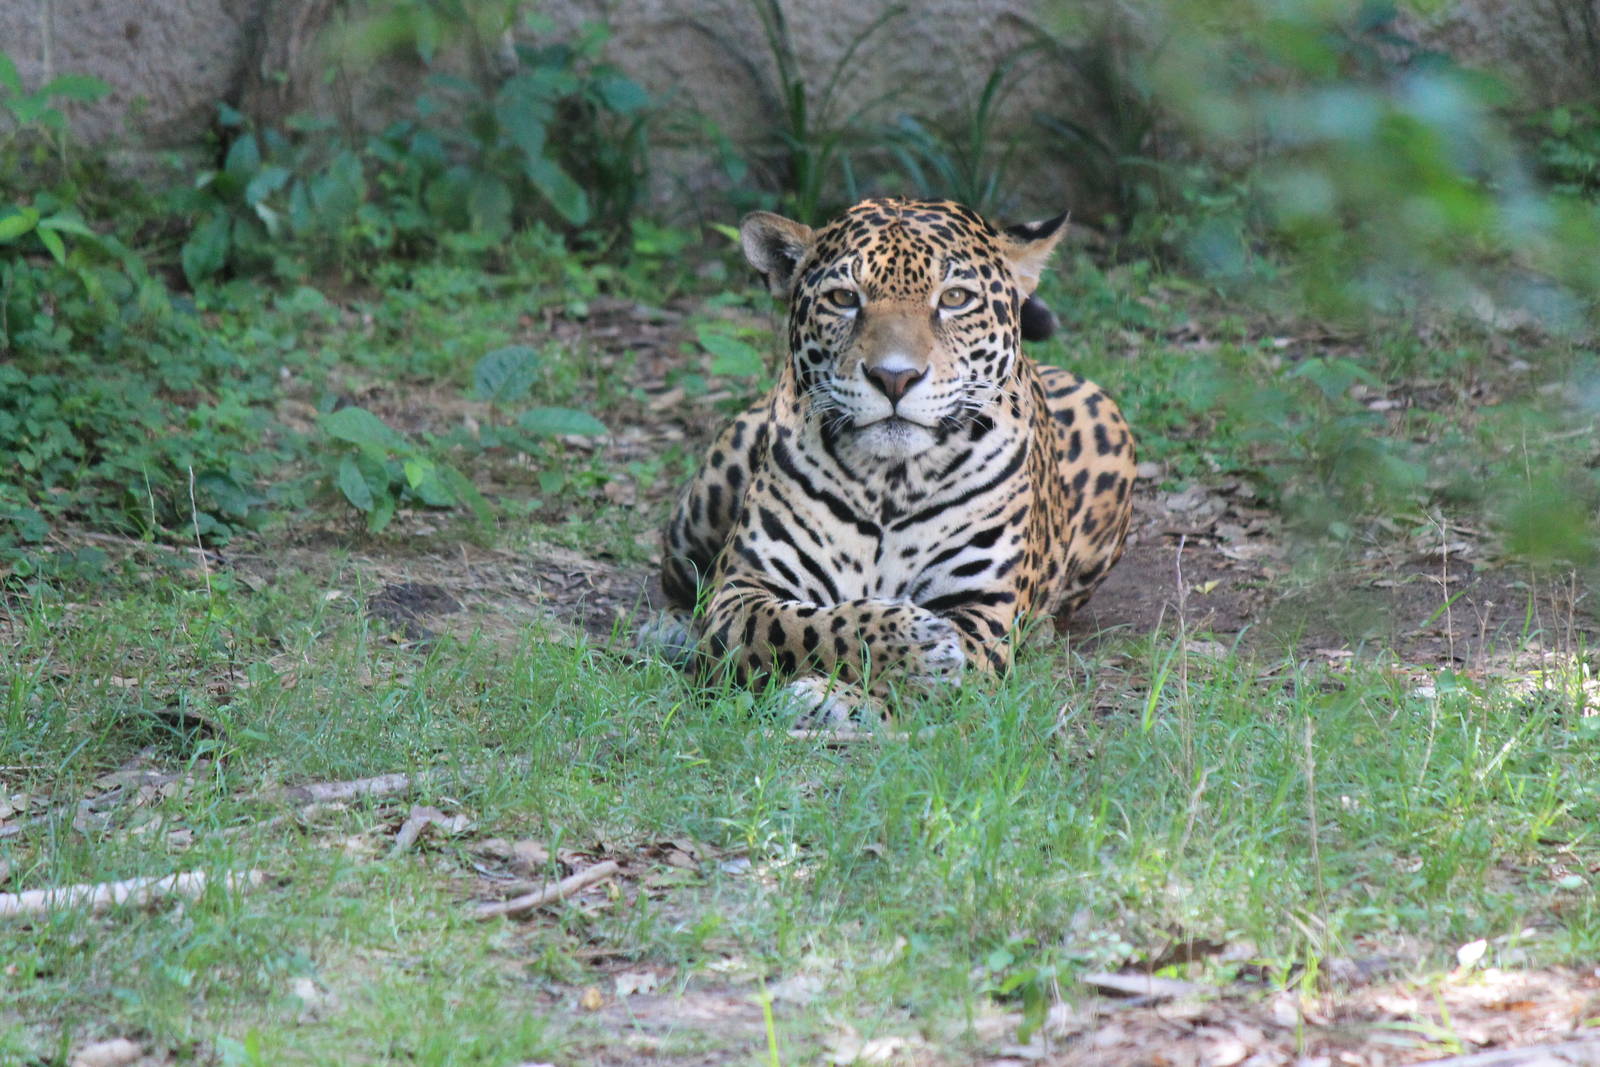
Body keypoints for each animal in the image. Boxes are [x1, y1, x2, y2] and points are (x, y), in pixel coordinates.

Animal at [658, 197, 1136, 722]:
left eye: (955, 298)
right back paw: (669, 631)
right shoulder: (743, 589)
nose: (894, 378)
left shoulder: (983, 612)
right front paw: (910, 642)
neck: (890, 480)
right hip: (701, 507)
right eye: (844, 298)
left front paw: (845, 696)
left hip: (1105, 415)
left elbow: (933, 688)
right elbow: (803, 626)